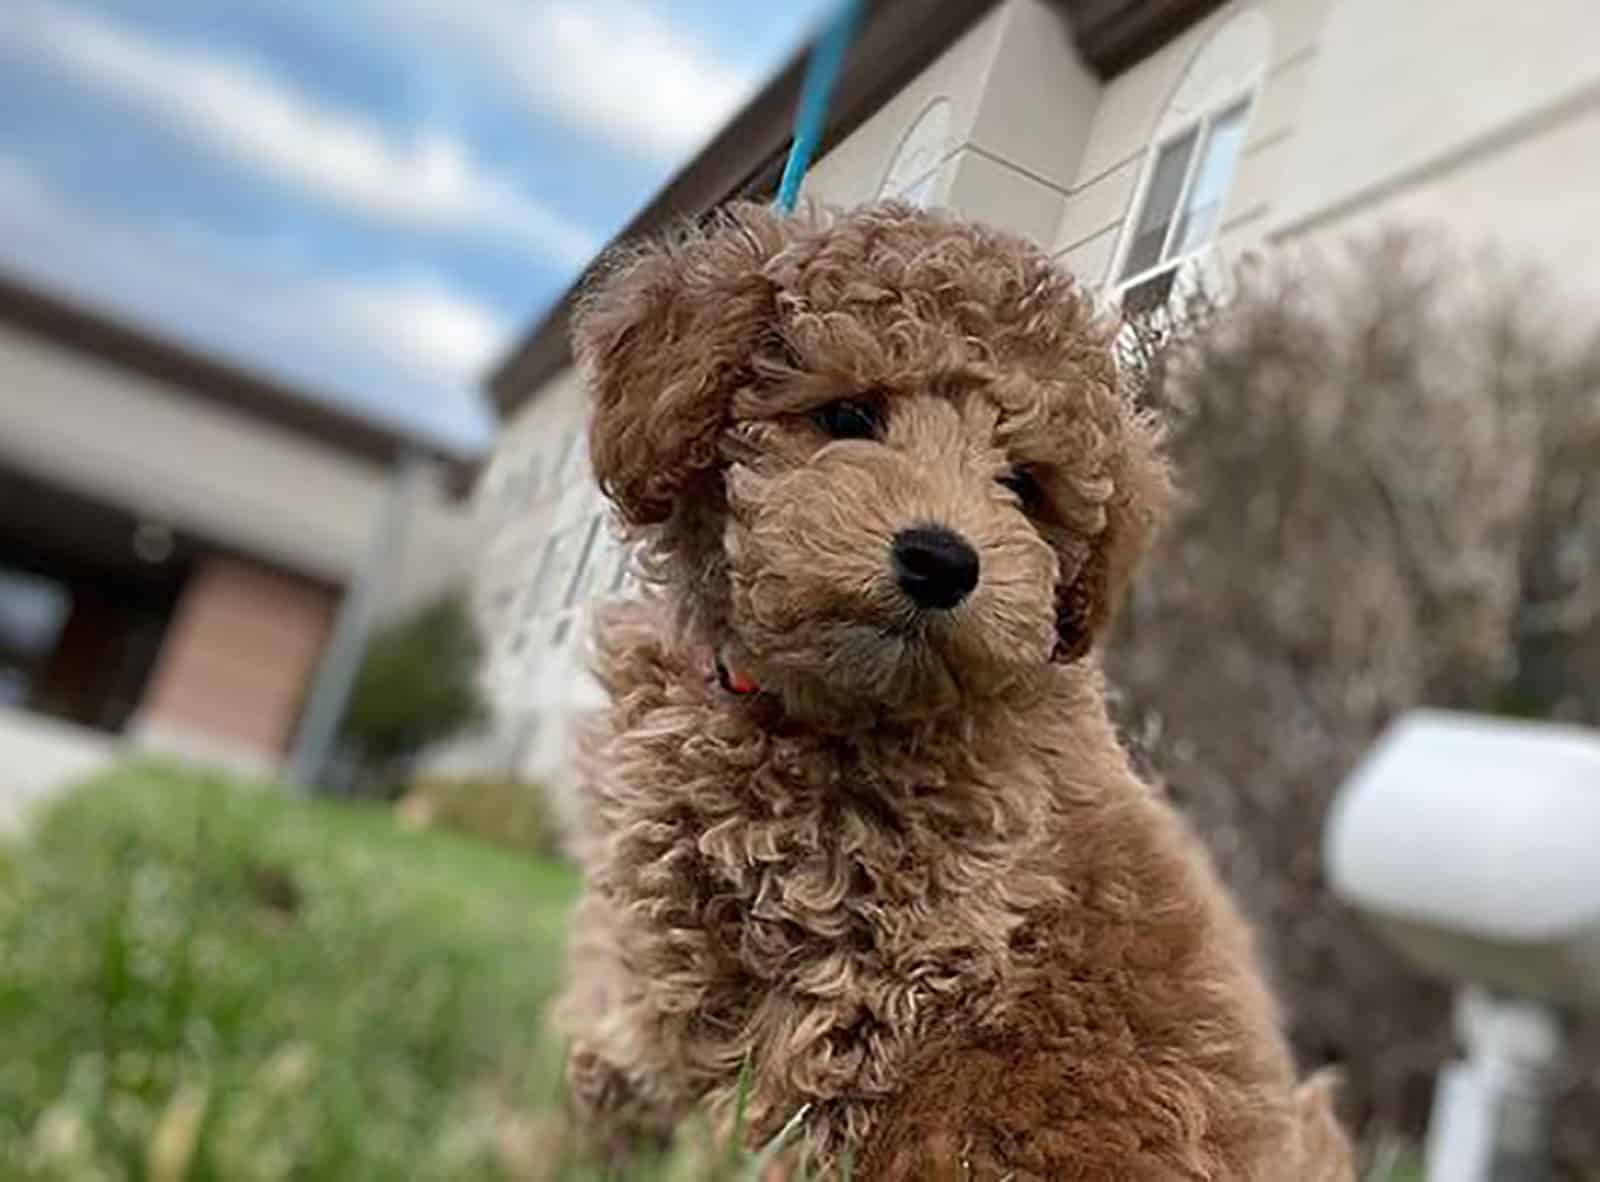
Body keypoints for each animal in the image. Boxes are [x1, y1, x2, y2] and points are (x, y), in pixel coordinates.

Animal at [550, 203, 1350, 1182]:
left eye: (1023, 485)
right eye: (849, 413)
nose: (941, 561)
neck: (817, 710)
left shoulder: (877, 968)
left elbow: (782, 1112)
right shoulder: (670, 926)